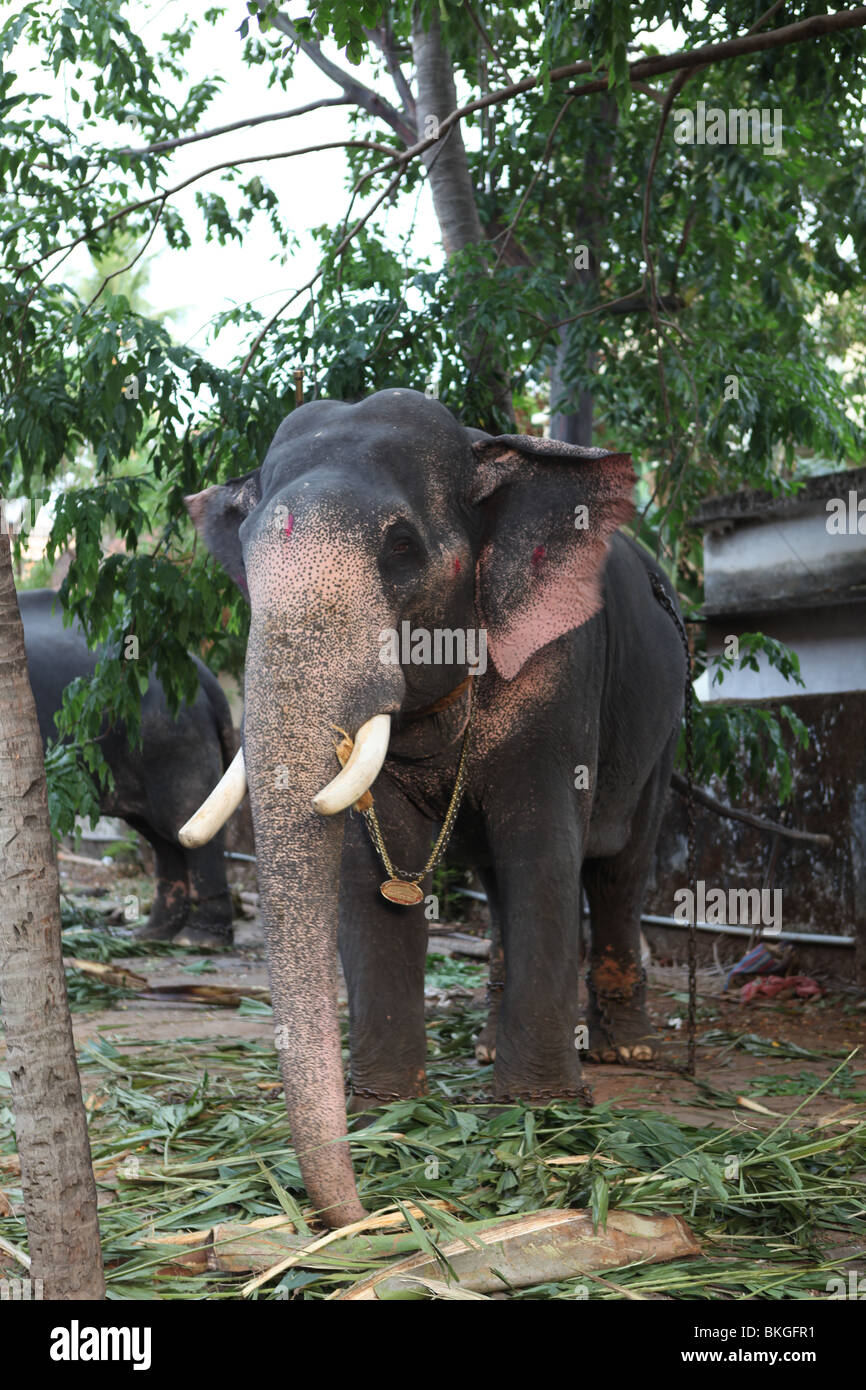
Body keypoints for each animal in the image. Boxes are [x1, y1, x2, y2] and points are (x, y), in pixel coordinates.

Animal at [21, 586, 237, 945]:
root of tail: (202, 672)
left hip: (172, 735)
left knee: (185, 820)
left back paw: (196, 939)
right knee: (162, 836)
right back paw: (152, 935)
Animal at [179, 389, 686, 1228]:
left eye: (401, 547)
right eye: (244, 553)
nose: (362, 1214)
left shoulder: (563, 672)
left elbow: (543, 851)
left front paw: (541, 1109)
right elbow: (368, 873)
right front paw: (386, 1104)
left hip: (669, 726)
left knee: (619, 868)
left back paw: (628, 1052)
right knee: (500, 888)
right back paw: (485, 1045)